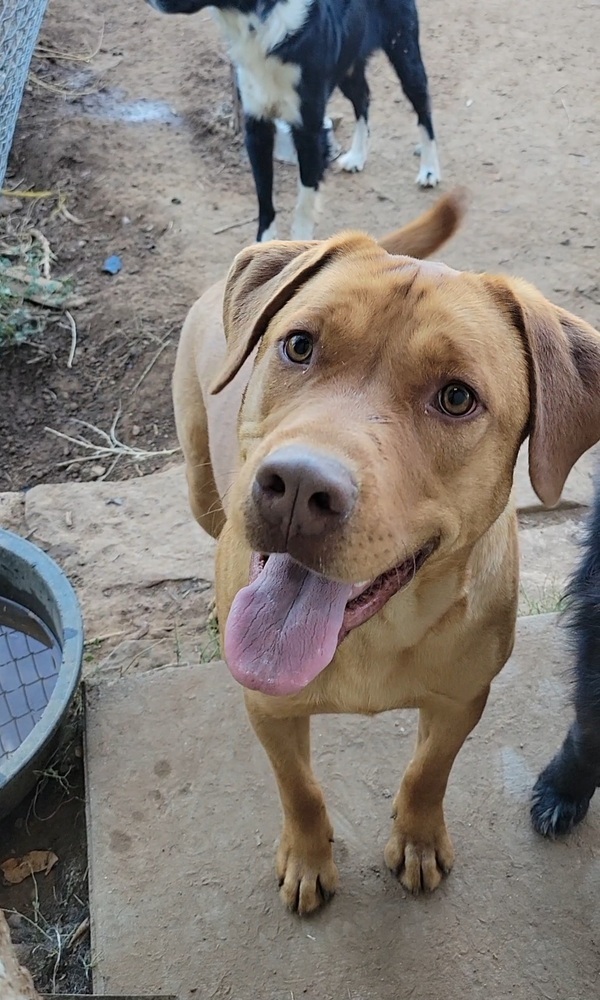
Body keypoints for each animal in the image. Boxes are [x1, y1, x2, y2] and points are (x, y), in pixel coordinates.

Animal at [148, 0, 442, 241]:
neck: (260, 24)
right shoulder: (256, 128)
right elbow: (264, 198)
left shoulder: (308, 132)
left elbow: (304, 204)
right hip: (348, 66)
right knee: (363, 99)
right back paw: (357, 156)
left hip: (405, 54)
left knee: (423, 110)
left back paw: (429, 170)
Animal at [171, 191, 600, 916]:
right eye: (299, 345)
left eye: (456, 396)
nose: (298, 488)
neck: (372, 633)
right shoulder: (270, 709)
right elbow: (299, 788)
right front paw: (309, 857)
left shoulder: (462, 699)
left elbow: (429, 771)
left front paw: (418, 839)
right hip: (202, 485)